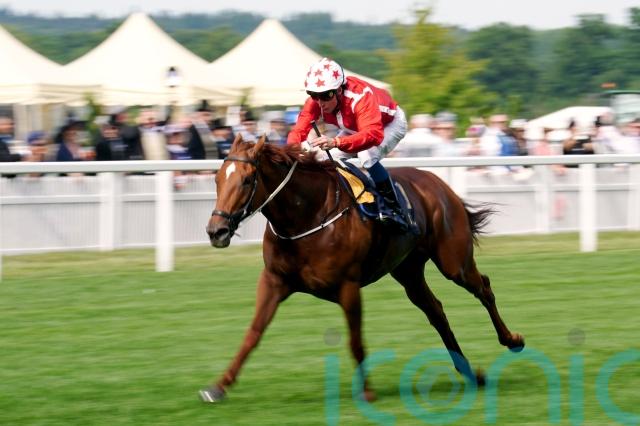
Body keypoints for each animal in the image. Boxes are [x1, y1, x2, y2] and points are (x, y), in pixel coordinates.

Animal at [202, 134, 524, 403]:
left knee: (483, 288)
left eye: (246, 180)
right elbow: (253, 334)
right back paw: (469, 372)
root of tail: (438, 182)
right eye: (217, 179)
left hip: (454, 262)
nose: (216, 231)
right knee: (436, 310)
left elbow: (355, 340)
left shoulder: (348, 285)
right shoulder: (274, 281)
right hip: (408, 271)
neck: (307, 216)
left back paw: (512, 341)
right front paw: (218, 386)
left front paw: (367, 391)